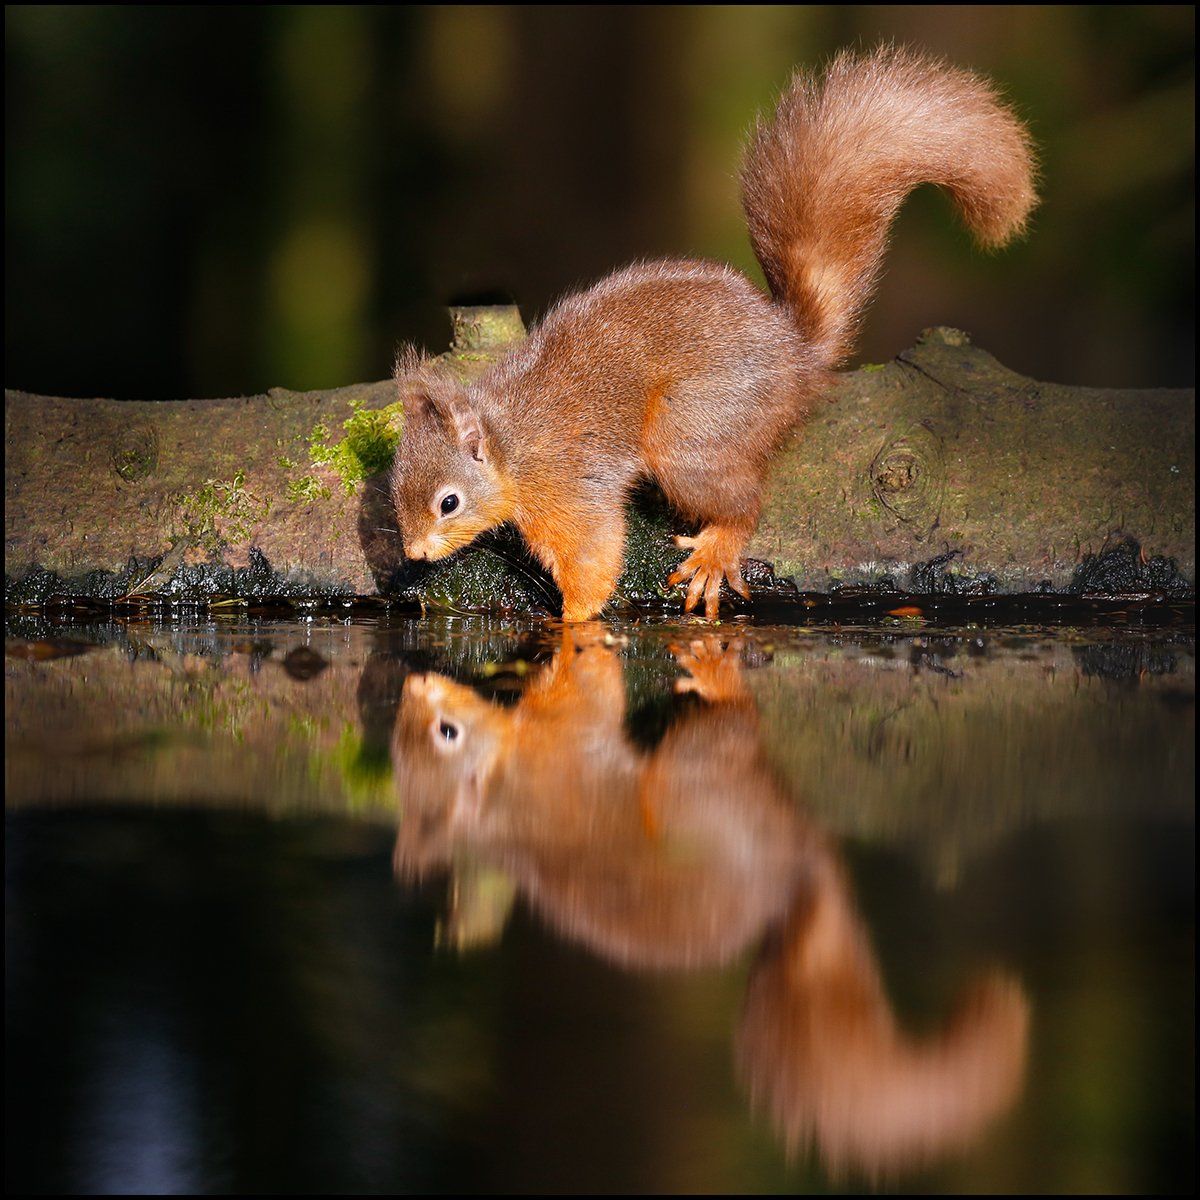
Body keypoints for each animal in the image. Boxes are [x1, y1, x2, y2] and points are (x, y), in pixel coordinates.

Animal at [390, 47, 1037, 619]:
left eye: (449, 503)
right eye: (394, 488)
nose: (414, 552)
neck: (511, 443)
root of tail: (794, 354)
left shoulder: (569, 487)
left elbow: (593, 557)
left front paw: (572, 622)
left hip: (692, 435)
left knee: (745, 502)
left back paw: (717, 548)